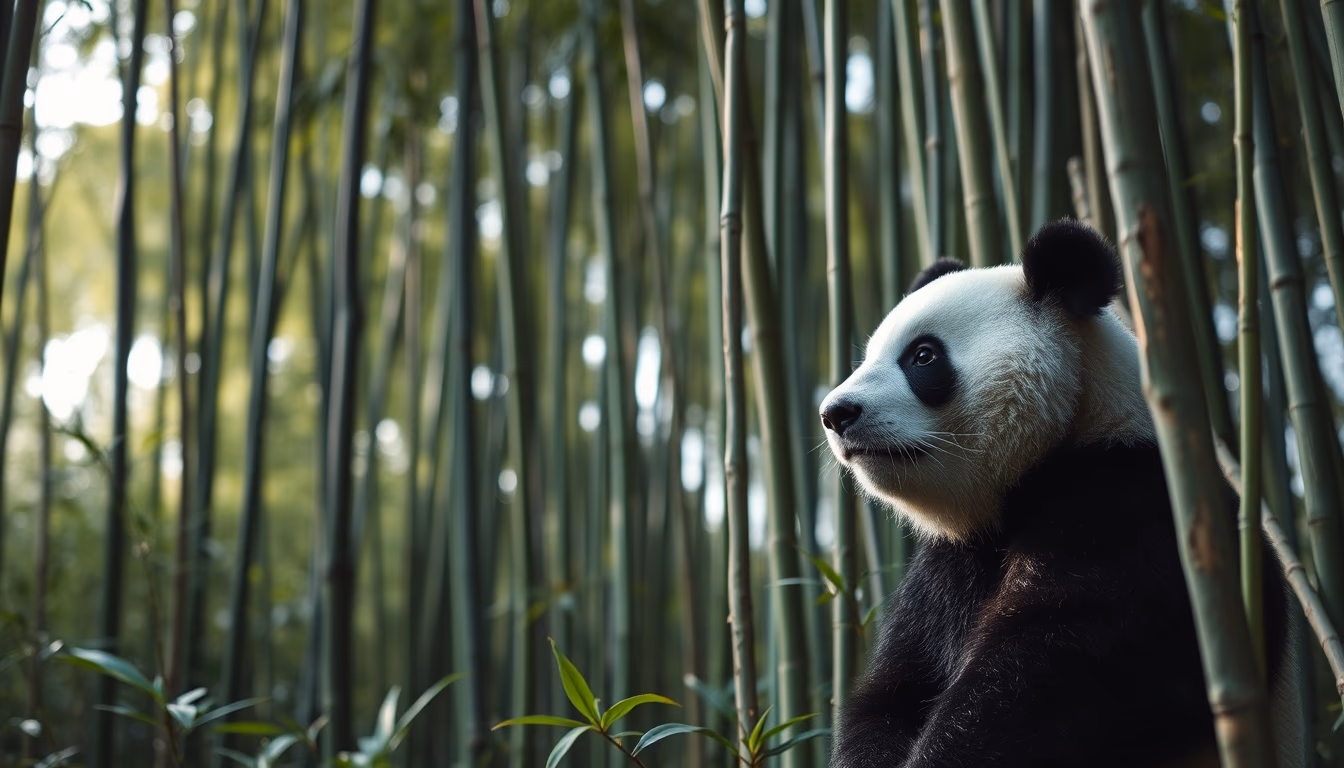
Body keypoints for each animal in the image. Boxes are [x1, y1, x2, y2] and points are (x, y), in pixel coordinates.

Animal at [820, 220, 1297, 767]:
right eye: (869, 356)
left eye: (923, 356)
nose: (835, 413)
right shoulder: (946, 569)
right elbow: (893, 693)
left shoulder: (1133, 513)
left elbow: (1040, 683)